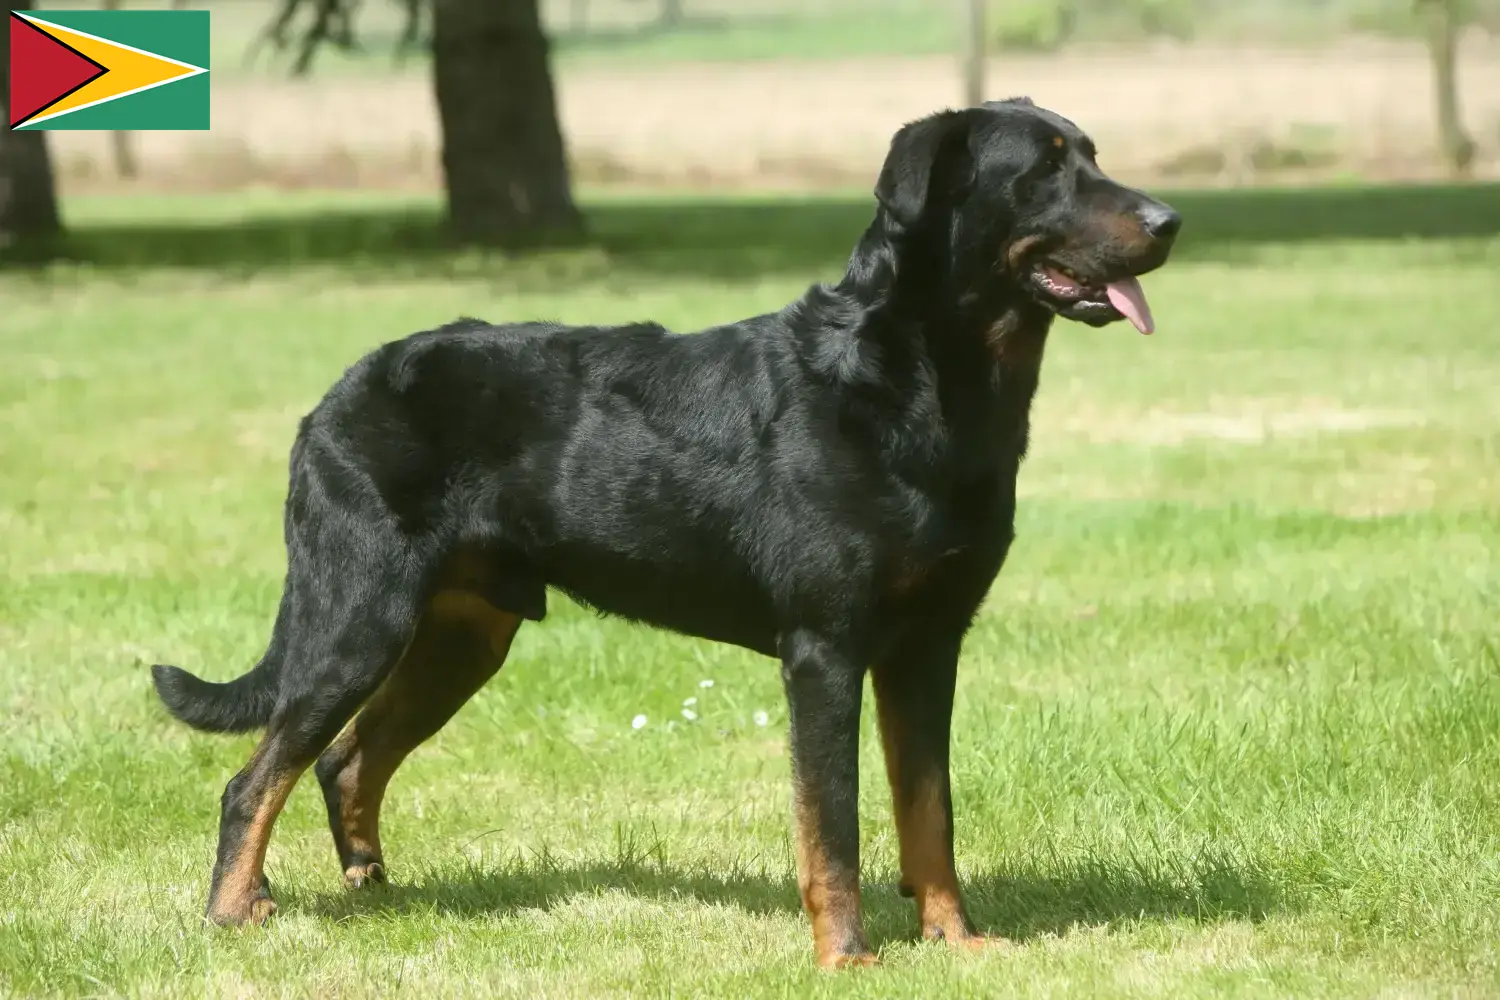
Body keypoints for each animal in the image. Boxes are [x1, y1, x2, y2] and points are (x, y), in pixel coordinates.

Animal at [155, 97, 1182, 965]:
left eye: (1093, 156)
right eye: (1044, 171)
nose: (1168, 219)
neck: (920, 379)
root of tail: (332, 399)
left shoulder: (929, 643)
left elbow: (930, 808)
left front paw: (956, 941)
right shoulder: (825, 648)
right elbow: (834, 822)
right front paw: (847, 957)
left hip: (462, 633)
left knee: (346, 760)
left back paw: (375, 892)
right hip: (357, 614)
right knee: (257, 778)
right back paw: (234, 912)